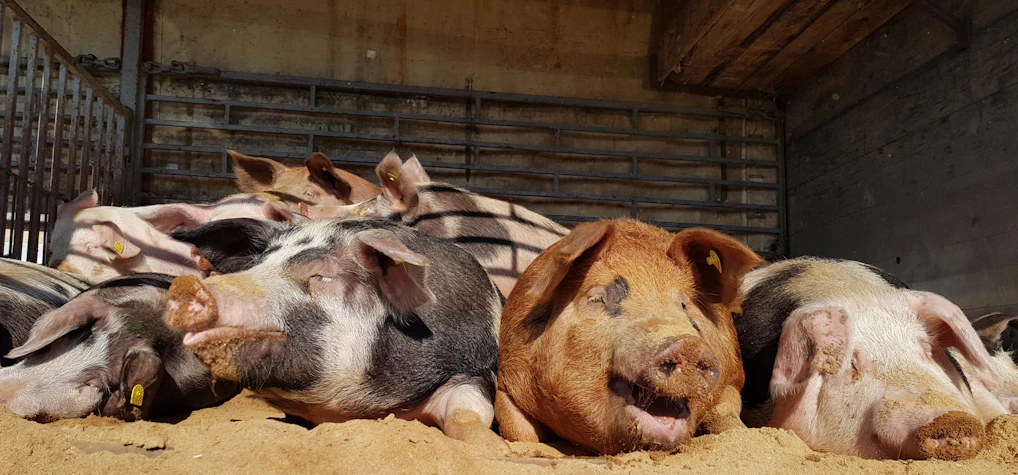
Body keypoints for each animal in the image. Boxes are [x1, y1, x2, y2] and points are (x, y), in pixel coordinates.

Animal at [162, 218, 508, 451]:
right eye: (256, 265)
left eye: (320, 274)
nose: (185, 285)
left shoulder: (474, 370)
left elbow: (466, 418)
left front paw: (500, 451)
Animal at [496, 219, 764, 454]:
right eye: (597, 298)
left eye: (684, 304)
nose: (687, 345)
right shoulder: (508, 375)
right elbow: (517, 429)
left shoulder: (733, 377)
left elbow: (726, 416)